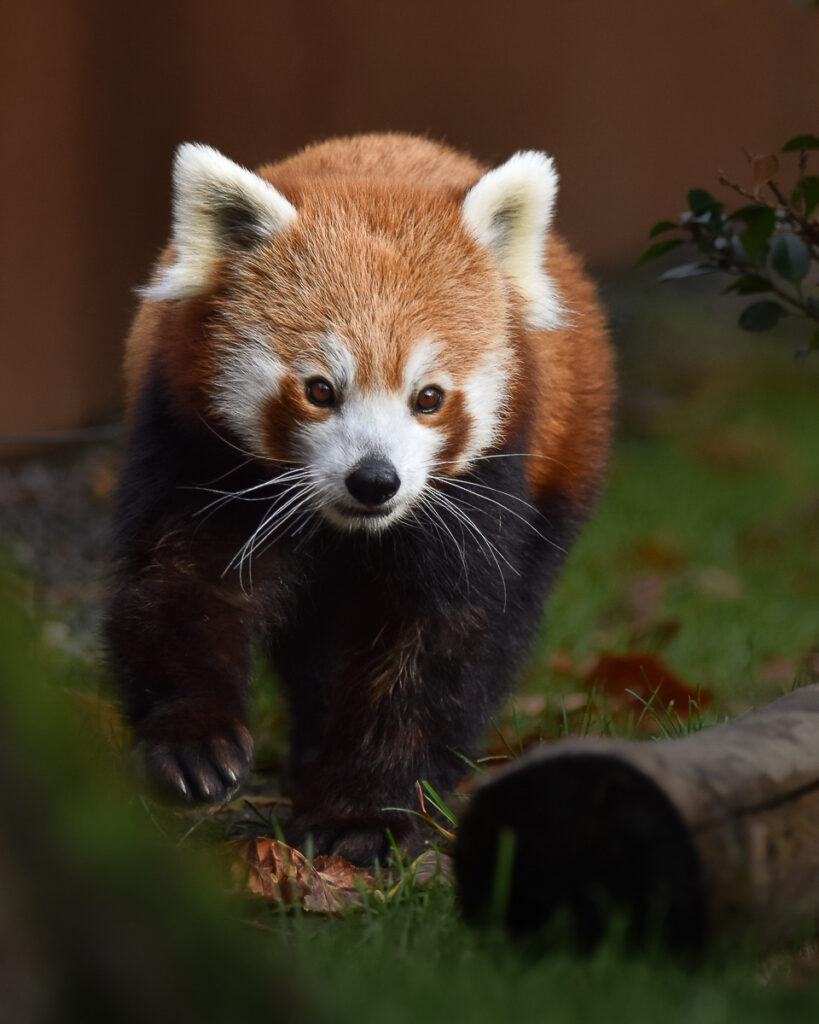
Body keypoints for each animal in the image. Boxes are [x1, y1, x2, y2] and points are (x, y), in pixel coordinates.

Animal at [105, 128, 610, 864]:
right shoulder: (193, 449)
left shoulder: (484, 493)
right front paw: (193, 745)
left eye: (428, 398)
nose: (374, 480)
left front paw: (362, 814)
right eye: (320, 390)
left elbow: (439, 646)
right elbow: (182, 589)